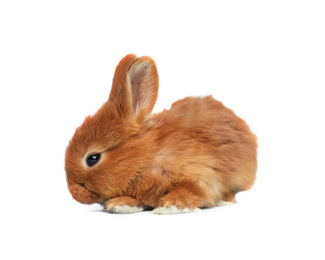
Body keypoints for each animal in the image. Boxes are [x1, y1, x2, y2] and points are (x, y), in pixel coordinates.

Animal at [64, 53, 256, 214]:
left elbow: (188, 192)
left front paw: (170, 206)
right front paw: (120, 204)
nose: (74, 193)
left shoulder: (201, 175)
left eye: (92, 159)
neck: (144, 157)